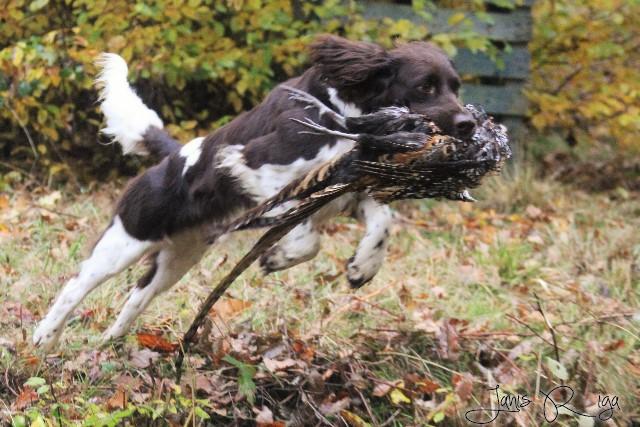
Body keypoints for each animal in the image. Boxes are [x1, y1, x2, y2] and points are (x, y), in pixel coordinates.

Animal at [33, 35, 475, 350]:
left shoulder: (349, 191)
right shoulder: (250, 164)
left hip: (179, 258)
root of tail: (173, 156)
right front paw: (279, 257)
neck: (345, 115)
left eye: (455, 86)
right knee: (76, 285)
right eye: (425, 86)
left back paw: (112, 340)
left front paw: (362, 267)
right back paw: (45, 338)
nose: (469, 124)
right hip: (127, 238)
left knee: (138, 294)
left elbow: (382, 221)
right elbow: (306, 233)